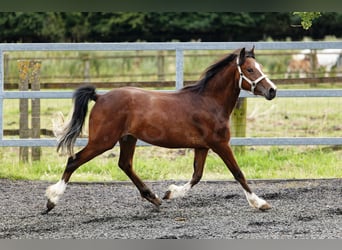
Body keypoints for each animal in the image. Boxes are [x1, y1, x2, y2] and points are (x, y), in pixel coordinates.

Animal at [42, 47, 278, 214]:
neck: (208, 101)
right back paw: (51, 200)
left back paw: (153, 197)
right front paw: (260, 203)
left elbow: (197, 175)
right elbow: (238, 173)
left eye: (260, 66)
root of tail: (99, 97)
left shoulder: (202, 147)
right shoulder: (220, 144)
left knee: (125, 164)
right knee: (73, 160)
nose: (272, 91)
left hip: (128, 139)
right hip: (103, 141)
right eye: (250, 69)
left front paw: (170, 193)